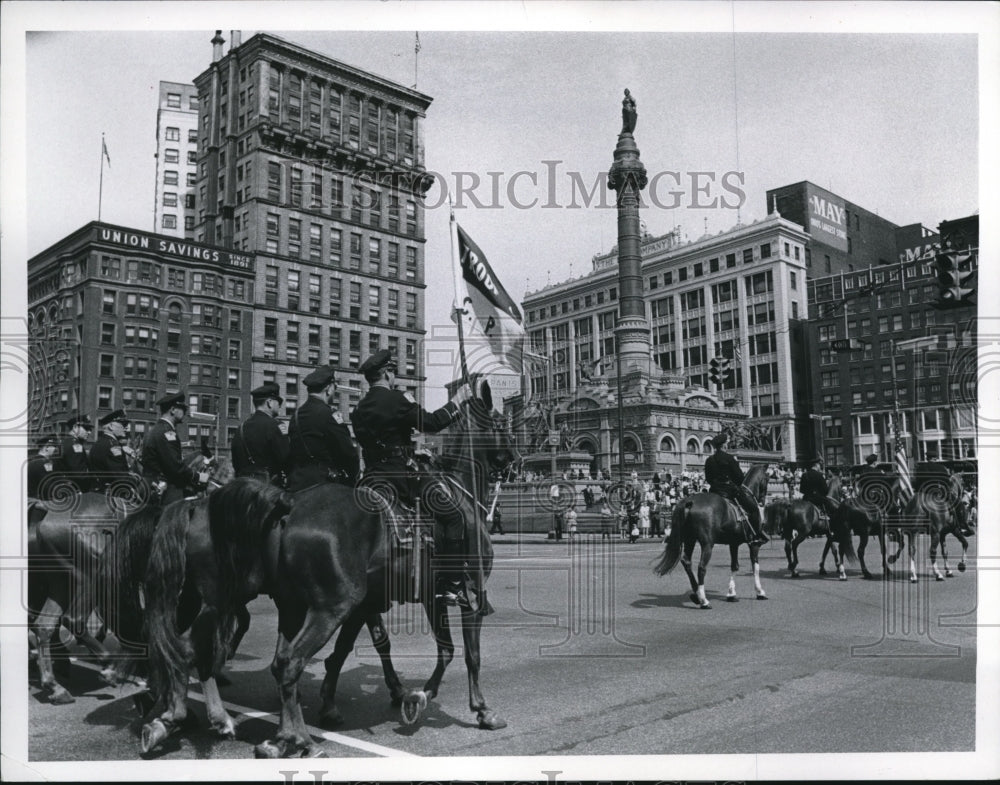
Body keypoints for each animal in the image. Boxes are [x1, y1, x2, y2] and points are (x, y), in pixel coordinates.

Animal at [656, 462, 772, 608]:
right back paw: (704, 600)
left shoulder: (733, 544)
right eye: (767, 479)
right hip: (707, 544)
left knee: (687, 562)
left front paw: (731, 594)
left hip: (690, 540)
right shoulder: (754, 544)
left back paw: (696, 595)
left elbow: (735, 566)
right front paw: (760, 592)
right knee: (701, 567)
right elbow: (755, 567)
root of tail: (689, 502)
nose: (762, 501)